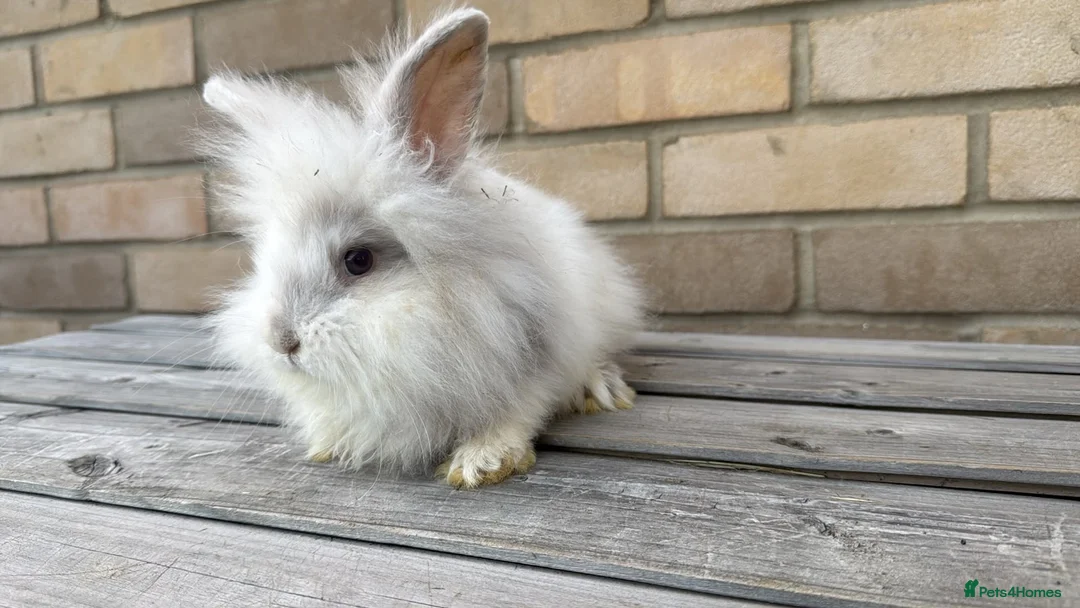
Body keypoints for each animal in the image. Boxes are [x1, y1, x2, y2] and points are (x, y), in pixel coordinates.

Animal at [199, 7, 645, 488]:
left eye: (358, 260)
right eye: (263, 258)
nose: (281, 341)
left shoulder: (533, 353)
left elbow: (519, 410)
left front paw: (482, 463)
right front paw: (328, 442)